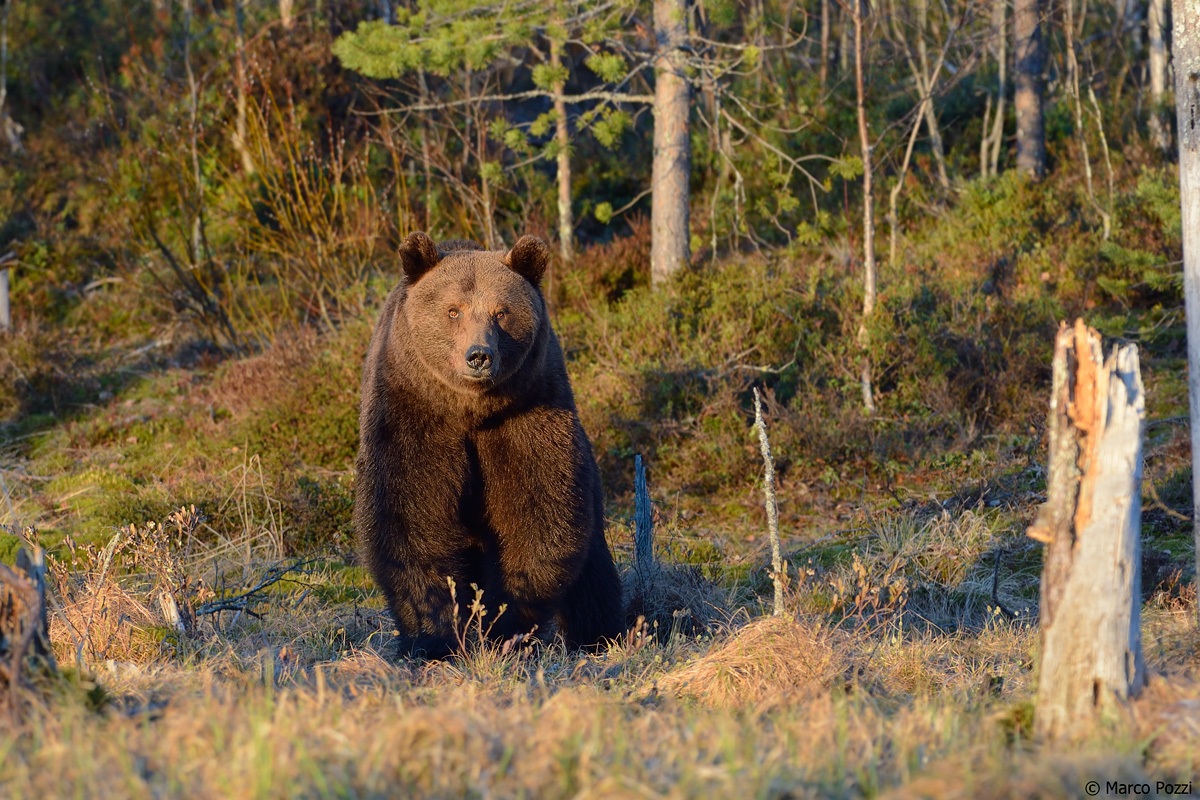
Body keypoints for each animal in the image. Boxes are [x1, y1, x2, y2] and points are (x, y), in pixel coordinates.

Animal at [353, 231, 625, 658]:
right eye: (453, 311)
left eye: (501, 312)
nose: (479, 356)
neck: (470, 411)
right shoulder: (411, 413)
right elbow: (409, 519)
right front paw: (434, 633)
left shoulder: (526, 414)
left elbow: (537, 514)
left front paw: (502, 624)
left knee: (592, 573)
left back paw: (599, 636)